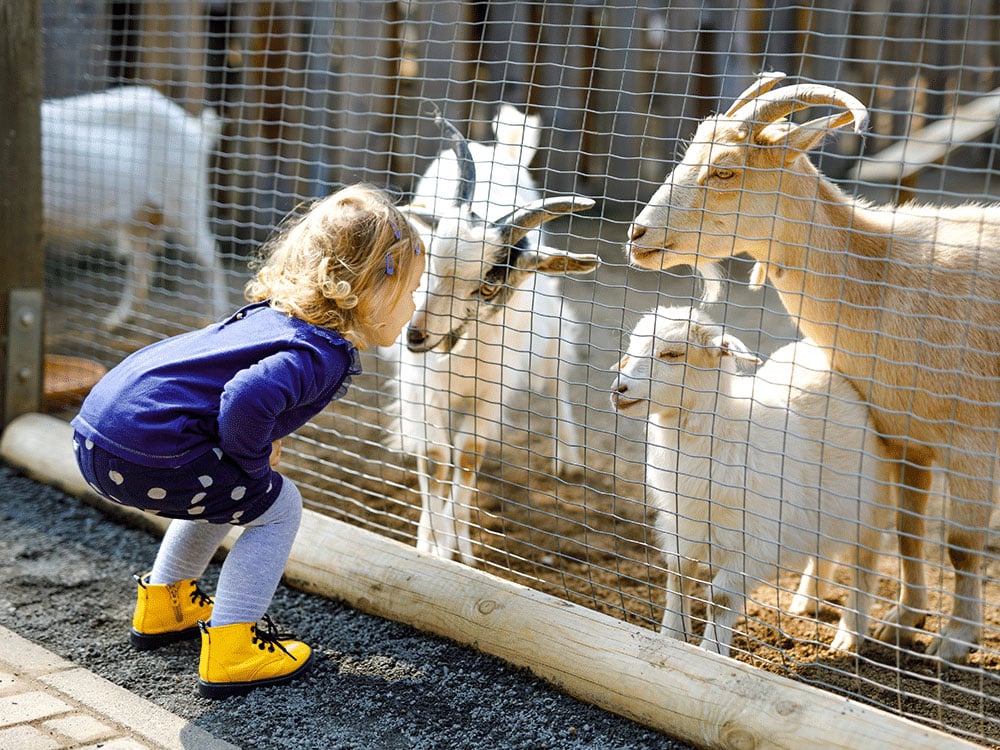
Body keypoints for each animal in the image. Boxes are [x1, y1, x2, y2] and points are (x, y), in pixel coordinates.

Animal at [42, 85, 227, 328]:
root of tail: (196, 130)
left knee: (211, 255)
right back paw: (116, 321)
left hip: (185, 202)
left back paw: (217, 317)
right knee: (142, 261)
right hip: (139, 216)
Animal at [394, 111, 596, 568]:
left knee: (557, 381)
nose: (415, 334)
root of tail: (501, 149)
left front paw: (459, 551)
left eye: (487, 286)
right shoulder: (421, 386)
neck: (460, 351)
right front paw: (430, 545)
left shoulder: (492, 391)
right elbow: (436, 458)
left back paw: (568, 458)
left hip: (547, 332)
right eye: (428, 262)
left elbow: (467, 456)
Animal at [612, 306, 896, 656]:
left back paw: (849, 635)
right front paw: (671, 637)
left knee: (864, 566)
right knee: (823, 549)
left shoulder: (754, 540)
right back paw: (806, 601)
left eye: (672, 354)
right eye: (632, 348)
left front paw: (711, 651)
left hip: (871, 501)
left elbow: (720, 598)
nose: (619, 390)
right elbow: (678, 578)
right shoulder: (684, 523)